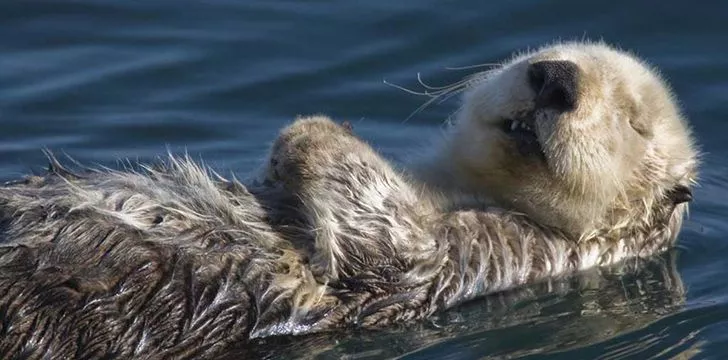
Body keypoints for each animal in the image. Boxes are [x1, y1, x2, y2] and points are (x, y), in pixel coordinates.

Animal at [0, 41, 696, 358]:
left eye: (633, 122)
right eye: (544, 54)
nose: (555, 77)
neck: (454, 186)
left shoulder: (493, 255)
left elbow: (388, 248)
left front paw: (312, 130)